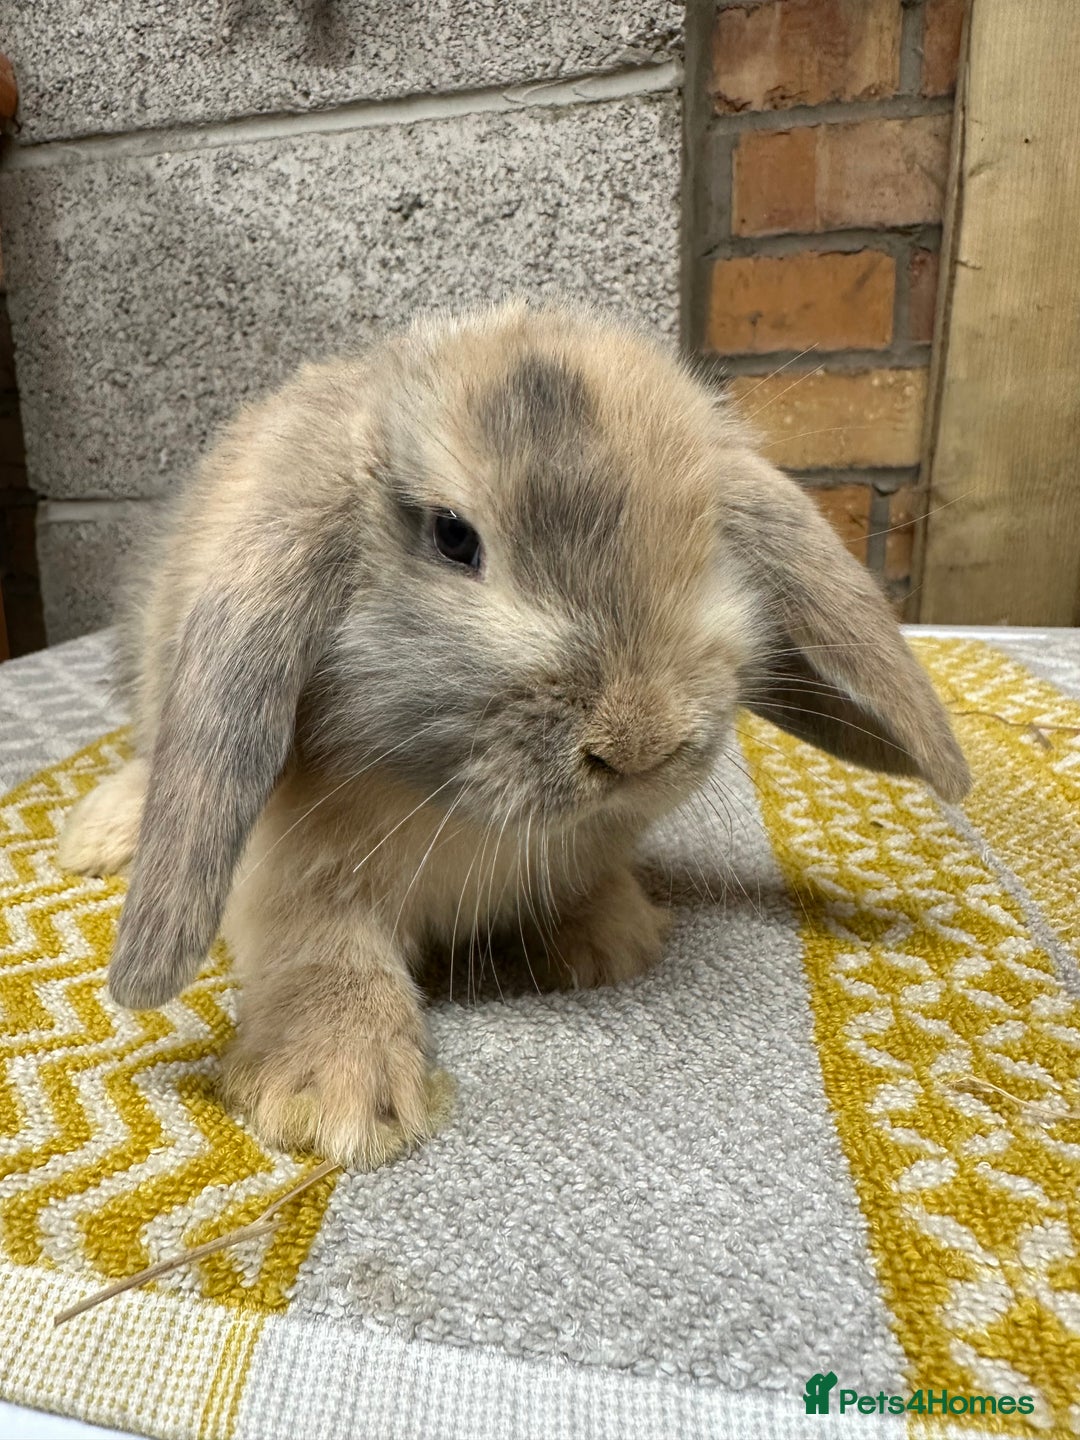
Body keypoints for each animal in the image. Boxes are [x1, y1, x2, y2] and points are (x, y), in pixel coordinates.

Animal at [58, 297, 970, 1168]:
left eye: (707, 534)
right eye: (454, 537)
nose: (638, 744)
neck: (469, 817)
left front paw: (613, 941)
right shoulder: (292, 873)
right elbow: (322, 952)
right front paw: (331, 1096)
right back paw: (101, 835)